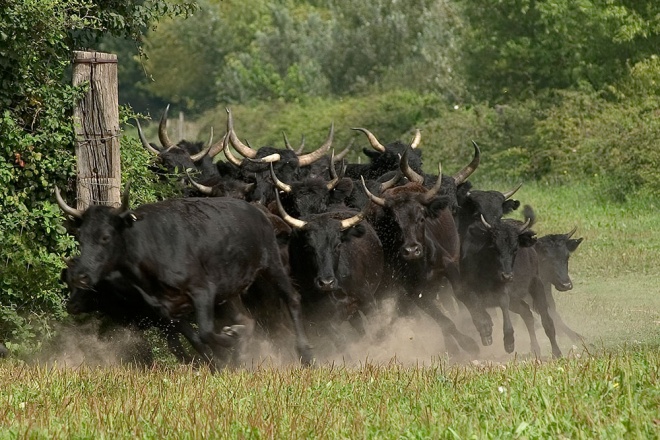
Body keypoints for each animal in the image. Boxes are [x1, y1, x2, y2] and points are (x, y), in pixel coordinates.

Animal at [55, 184, 314, 366]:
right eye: (81, 237)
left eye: (105, 237)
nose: (81, 277)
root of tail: (258, 212)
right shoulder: (169, 312)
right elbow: (193, 341)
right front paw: (217, 362)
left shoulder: (202, 292)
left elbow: (205, 333)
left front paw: (227, 345)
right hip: (230, 295)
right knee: (248, 320)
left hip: (272, 267)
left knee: (292, 299)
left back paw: (305, 354)